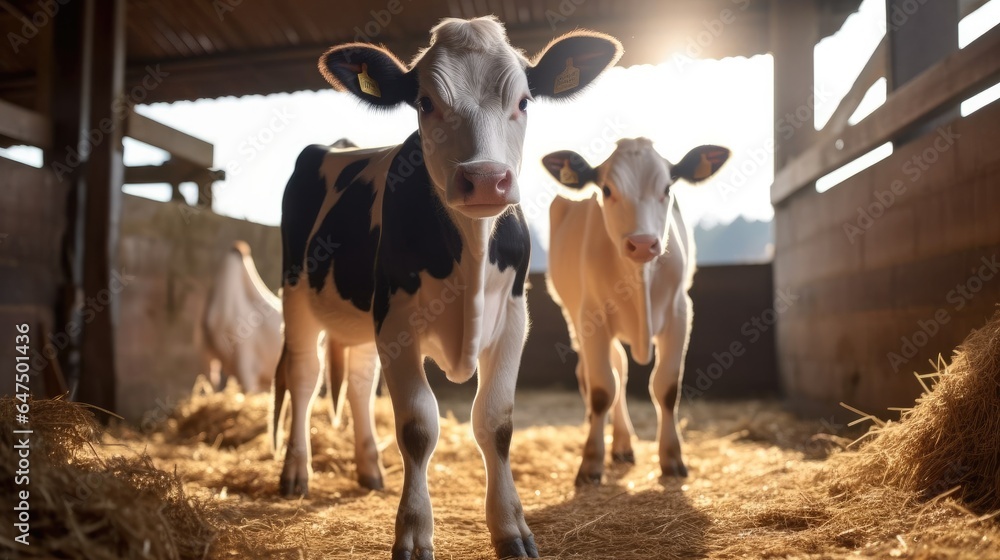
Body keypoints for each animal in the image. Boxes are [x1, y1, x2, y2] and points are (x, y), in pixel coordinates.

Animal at [270, 15, 620, 556]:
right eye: (424, 102)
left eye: (524, 101)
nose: (486, 179)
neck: (470, 256)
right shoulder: (395, 322)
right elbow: (417, 426)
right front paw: (414, 531)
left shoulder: (512, 319)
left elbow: (496, 422)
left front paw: (511, 528)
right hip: (296, 294)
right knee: (305, 378)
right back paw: (295, 474)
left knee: (358, 383)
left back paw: (370, 471)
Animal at [548, 140, 728, 486]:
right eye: (606, 189)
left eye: (668, 187)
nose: (643, 244)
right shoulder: (592, 317)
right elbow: (602, 390)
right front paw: (591, 461)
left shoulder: (680, 313)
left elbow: (666, 388)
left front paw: (672, 458)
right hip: (573, 315)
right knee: (604, 374)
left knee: (620, 369)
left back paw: (622, 444)